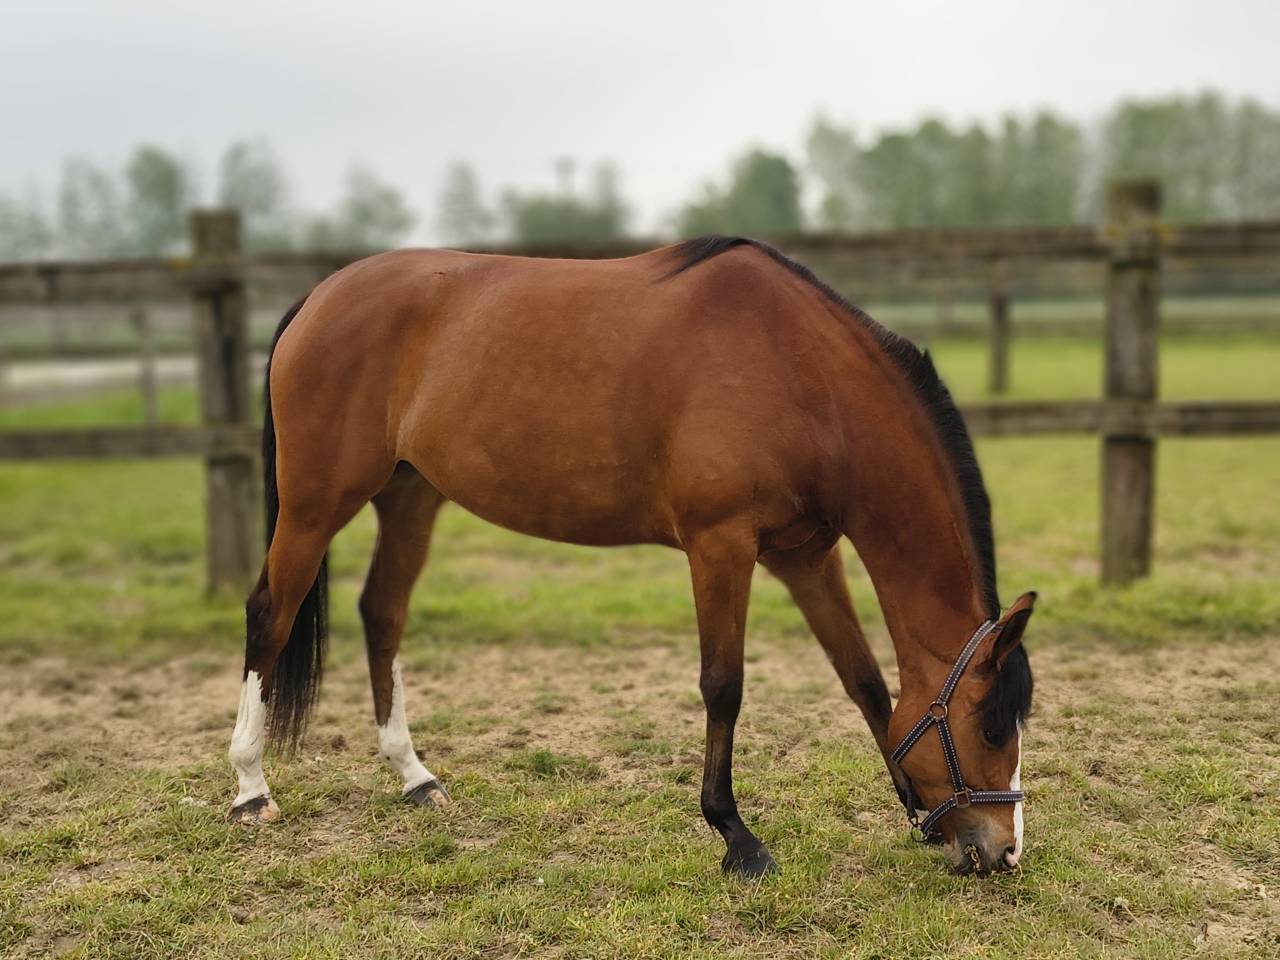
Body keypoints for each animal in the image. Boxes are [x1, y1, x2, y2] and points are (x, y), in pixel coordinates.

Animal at [227, 235, 1035, 878]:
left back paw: (415, 778)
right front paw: (737, 838)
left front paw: (908, 808)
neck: (800, 375)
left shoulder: (807, 557)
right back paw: (250, 791)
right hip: (315, 503)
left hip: (409, 498)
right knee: (270, 613)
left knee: (382, 612)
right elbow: (724, 686)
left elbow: (864, 681)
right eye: (993, 729)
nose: (1002, 852)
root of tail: (320, 295)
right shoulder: (719, 547)